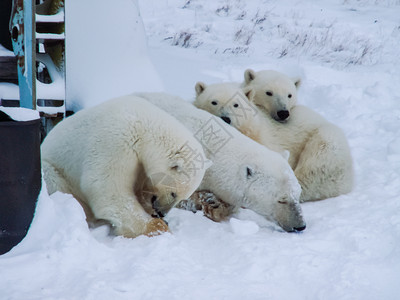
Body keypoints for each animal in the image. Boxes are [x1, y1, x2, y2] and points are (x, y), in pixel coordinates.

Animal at [41, 96, 209, 239]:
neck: (142, 127)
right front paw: (158, 227)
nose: (161, 213)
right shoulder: (116, 142)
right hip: (52, 170)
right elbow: (108, 189)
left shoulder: (140, 164)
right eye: (174, 193)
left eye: (183, 197)